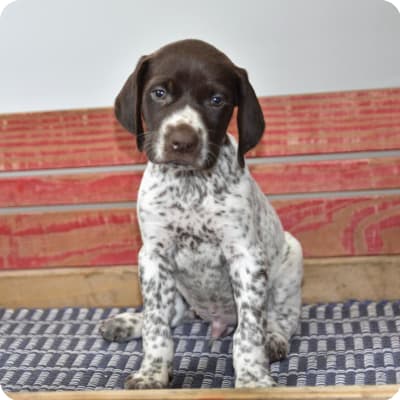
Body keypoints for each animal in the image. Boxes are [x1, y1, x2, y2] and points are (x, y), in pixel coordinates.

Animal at [101, 39, 304, 390]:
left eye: (216, 100)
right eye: (159, 93)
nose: (183, 141)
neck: (189, 185)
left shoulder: (245, 257)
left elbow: (249, 332)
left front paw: (252, 379)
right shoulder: (153, 256)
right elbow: (157, 326)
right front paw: (152, 373)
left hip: (292, 259)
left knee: (282, 318)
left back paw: (274, 339)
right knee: (171, 315)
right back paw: (127, 322)